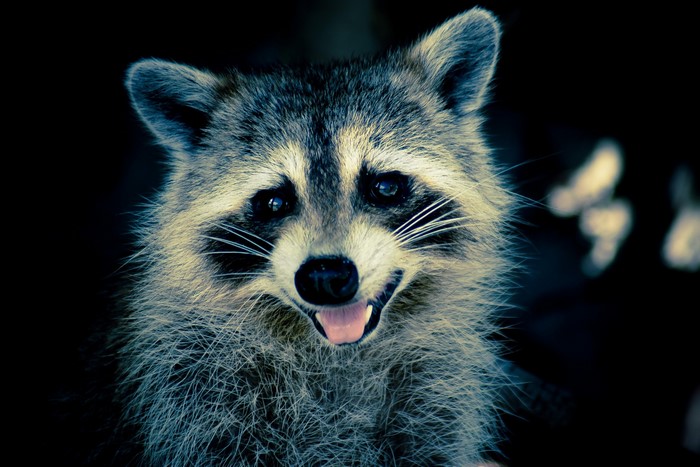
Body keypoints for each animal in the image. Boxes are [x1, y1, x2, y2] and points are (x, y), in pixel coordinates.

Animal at [118, 7, 515, 466]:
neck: (337, 355)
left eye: (384, 187)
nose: (325, 277)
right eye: (274, 202)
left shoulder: (433, 402)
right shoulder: (195, 397)